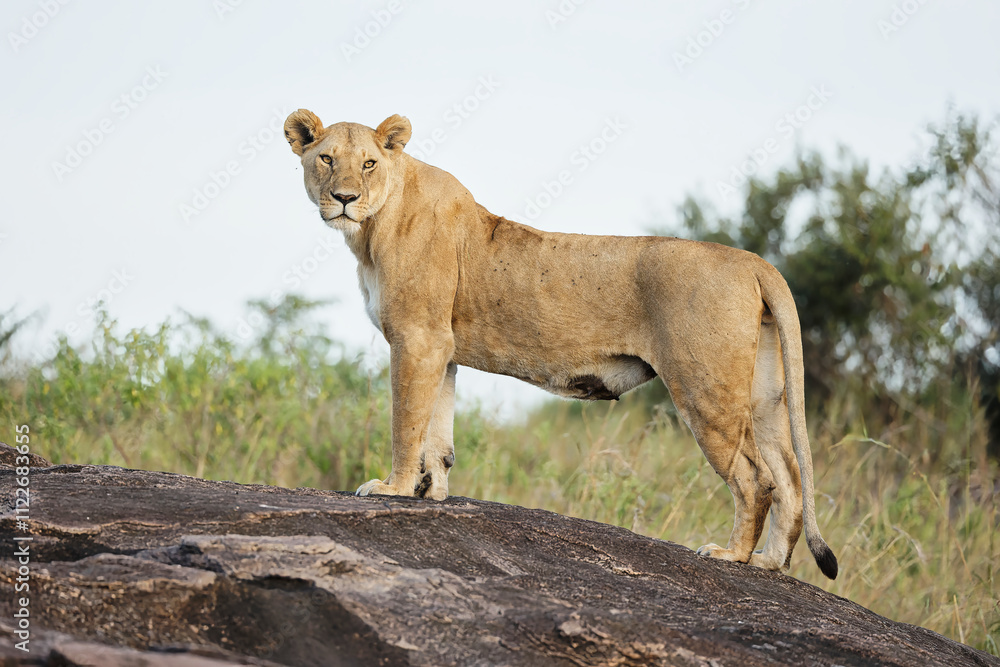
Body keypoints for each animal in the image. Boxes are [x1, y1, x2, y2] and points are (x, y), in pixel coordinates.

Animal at [283, 109, 838, 579]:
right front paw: (428, 493)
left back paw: (732, 555)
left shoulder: (417, 338)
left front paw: (392, 489)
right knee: (789, 477)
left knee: (755, 478)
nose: (345, 198)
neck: (371, 231)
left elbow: (407, 422)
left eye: (369, 163)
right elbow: (437, 432)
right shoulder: (440, 348)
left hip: (706, 392)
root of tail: (753, 261)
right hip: (764, 395)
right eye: (326, 158)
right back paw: (769, 562)